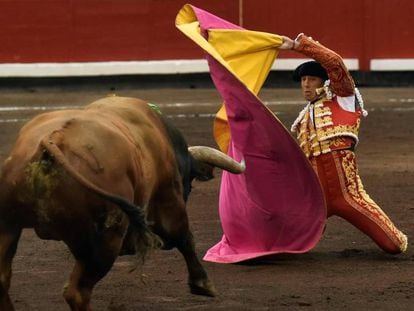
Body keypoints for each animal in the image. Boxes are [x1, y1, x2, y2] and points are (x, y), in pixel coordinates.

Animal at [0, 96, 244, 310]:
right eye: (189, 183)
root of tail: (53, 141)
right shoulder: (169, 200)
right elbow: (184, 237)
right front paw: (203, 284)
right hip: (107, 237)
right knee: (77, 292)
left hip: (9, 226)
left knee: (3, 279)